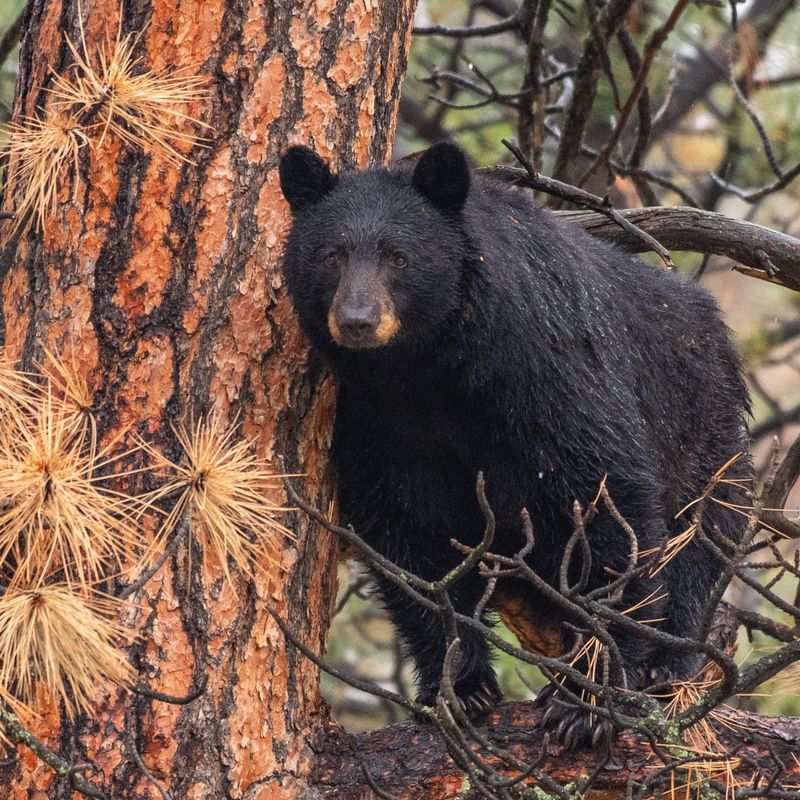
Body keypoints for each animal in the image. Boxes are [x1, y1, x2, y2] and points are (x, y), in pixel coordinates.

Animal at [280, 141, 752, 748]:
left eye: (399, 257)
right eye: (332, 256)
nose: (357, 320)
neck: (431, 367)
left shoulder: (542, 367)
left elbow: (602, 494)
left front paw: (586, 699)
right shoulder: (377, 416)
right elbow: (407, 532)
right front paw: (459, 688)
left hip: (703, 428)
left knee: (700, 533)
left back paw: (666, 662)